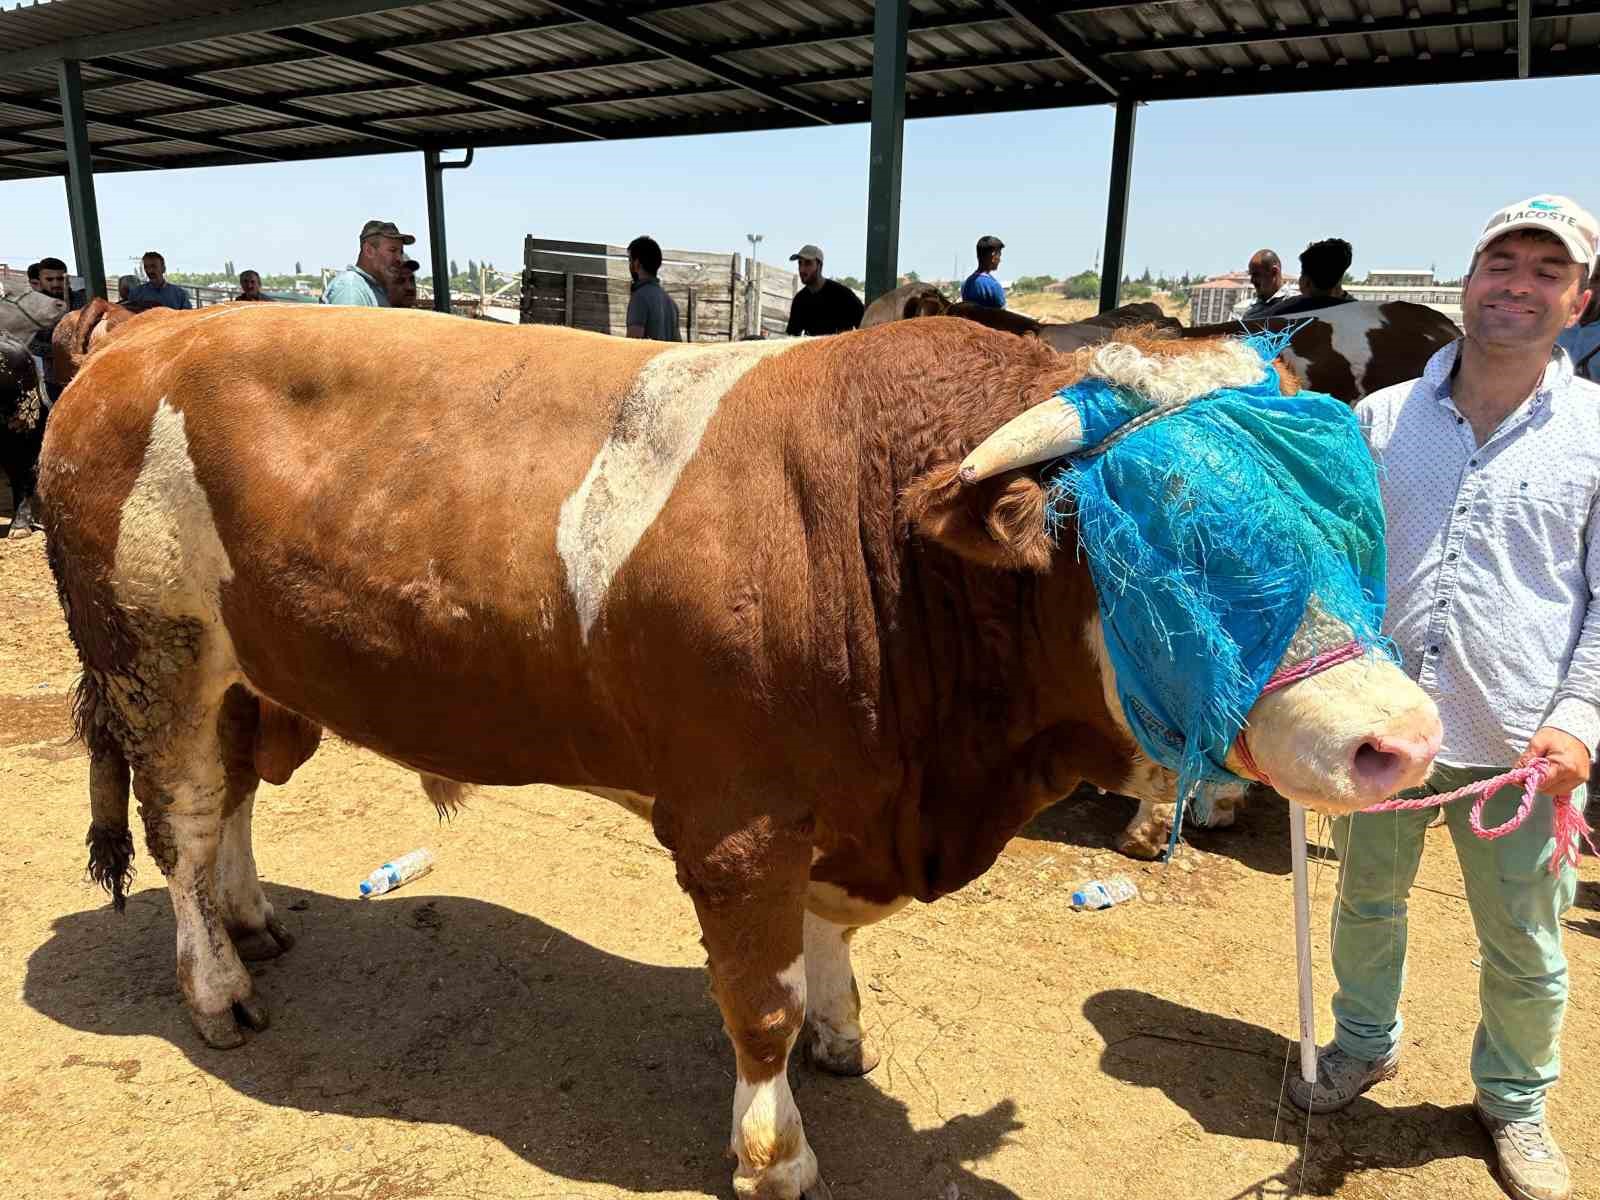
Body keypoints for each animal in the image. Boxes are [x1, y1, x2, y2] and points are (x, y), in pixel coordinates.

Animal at [37, 307, 1446, 1200]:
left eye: (1346, 509)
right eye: (1171, 545)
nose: (1403, 735)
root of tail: (140, 332)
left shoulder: (840, 804)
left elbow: (823, 945)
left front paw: (842, 1026)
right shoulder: (736, 824)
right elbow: (752, 1000)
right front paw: (776, 1153)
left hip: (250, 676)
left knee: (230, 801)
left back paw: (255, 917)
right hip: (153, 655)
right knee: (180, 822)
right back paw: (217, 985)